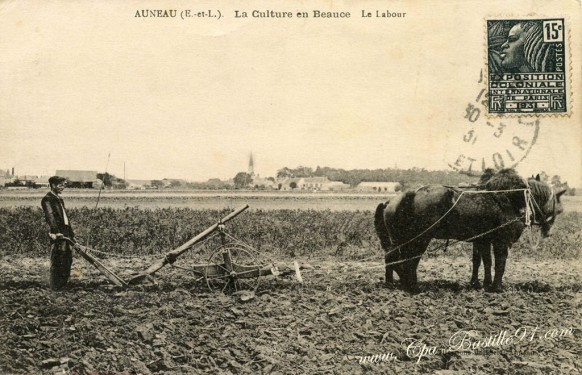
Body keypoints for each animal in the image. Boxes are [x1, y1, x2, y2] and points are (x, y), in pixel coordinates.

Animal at [376, 170, 568, 294]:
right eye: (558, 208)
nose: (549, 233)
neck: (513, 198)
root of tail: (397, 199)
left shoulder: (483, 239)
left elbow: (484, 262)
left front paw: (483, 284)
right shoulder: (501, 241)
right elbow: (500, 263)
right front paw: (497, 287)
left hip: (403, 239)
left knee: (394, 258)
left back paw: (394, 282)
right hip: (420, 239)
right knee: (408, 260)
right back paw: (412, 286)